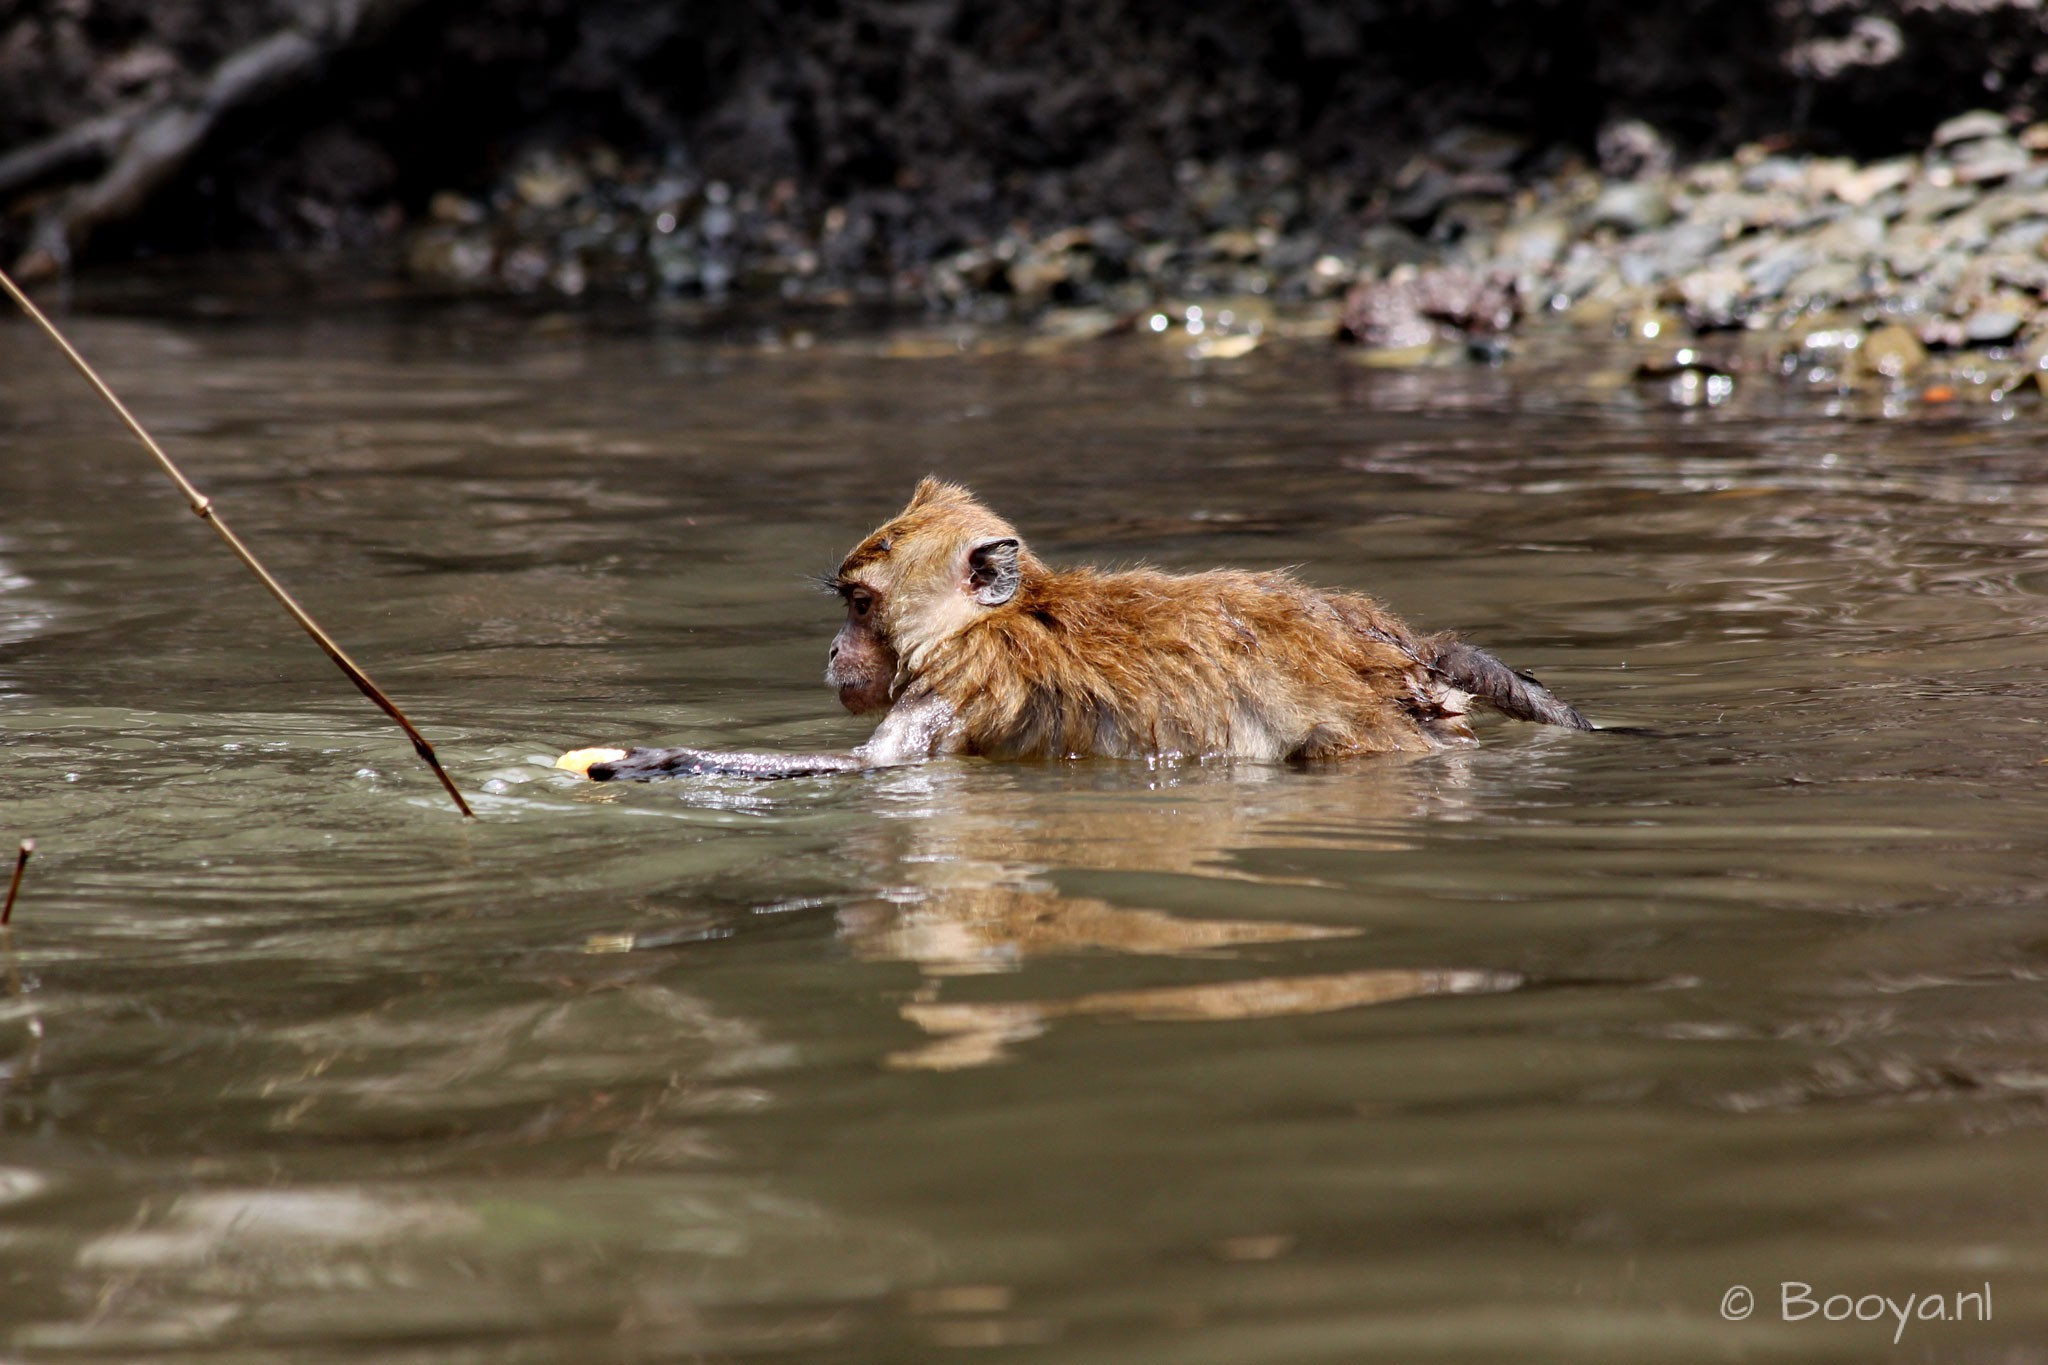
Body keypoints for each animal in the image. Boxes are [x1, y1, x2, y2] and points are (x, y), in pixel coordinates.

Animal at [562, 477, 1592, 782]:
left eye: (858, 605)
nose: (833, 650)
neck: (991, 620)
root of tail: (1396, 650)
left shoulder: (958, 686)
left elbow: (863, 773)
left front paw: (658, 759)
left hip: (1367, 735)